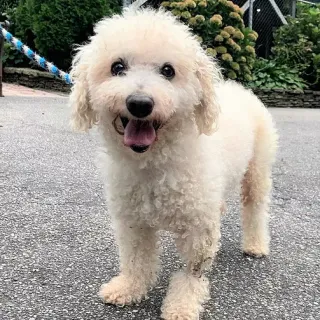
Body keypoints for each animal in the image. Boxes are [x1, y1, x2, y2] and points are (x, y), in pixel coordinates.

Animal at [69, 8, 278, 320]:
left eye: (168, 71)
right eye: (117, 67)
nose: (140, 103)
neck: (154, 164)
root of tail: (239, 88)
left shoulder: (198, 228)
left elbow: (191, 272)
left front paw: (182, 304)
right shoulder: (133, 220)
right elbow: (136, 259)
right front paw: (129, 287)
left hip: (257, 169)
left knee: (255, 207)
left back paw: (255, 244)